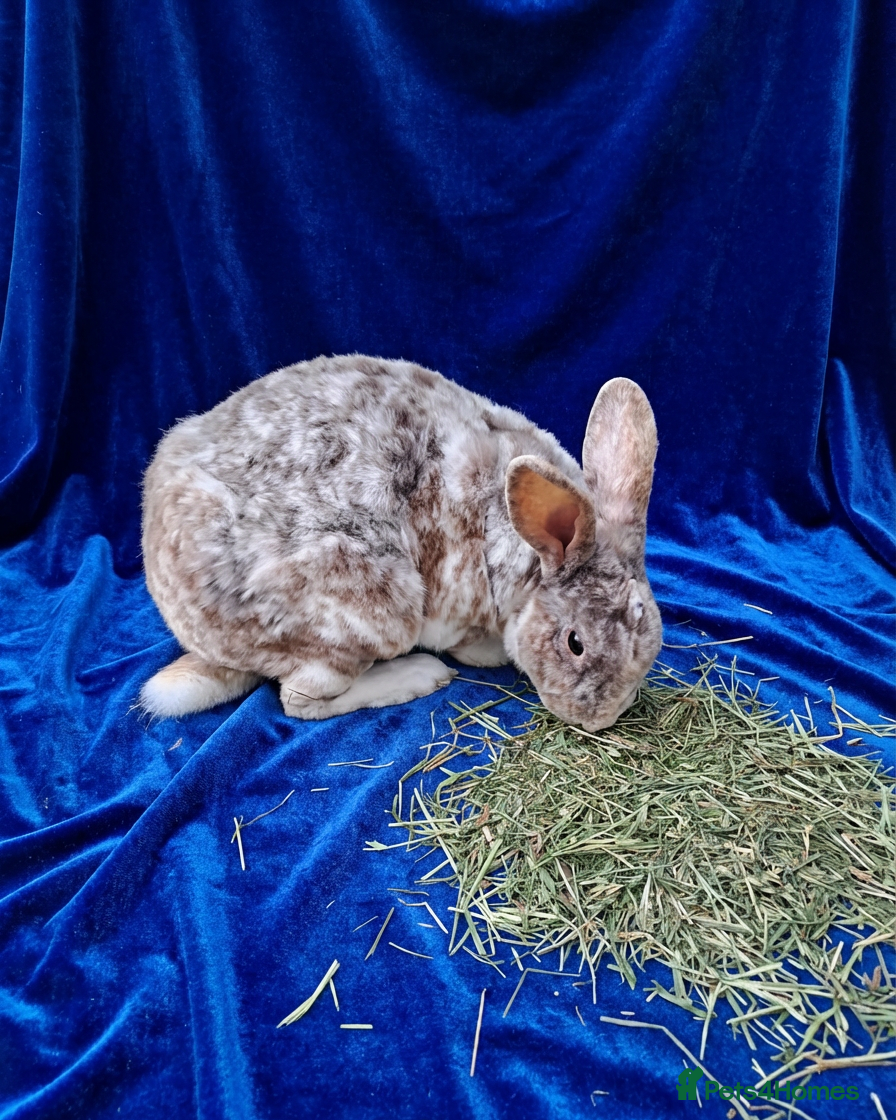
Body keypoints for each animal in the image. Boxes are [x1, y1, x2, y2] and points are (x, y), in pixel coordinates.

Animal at [139, 354, 662, 730]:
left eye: (650, 649)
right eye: (575, 643)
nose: (597, 721)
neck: (527, 554)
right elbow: (470, 645)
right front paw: (487, 655)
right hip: (373, 607)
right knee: (300, 699)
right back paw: (420, 676)